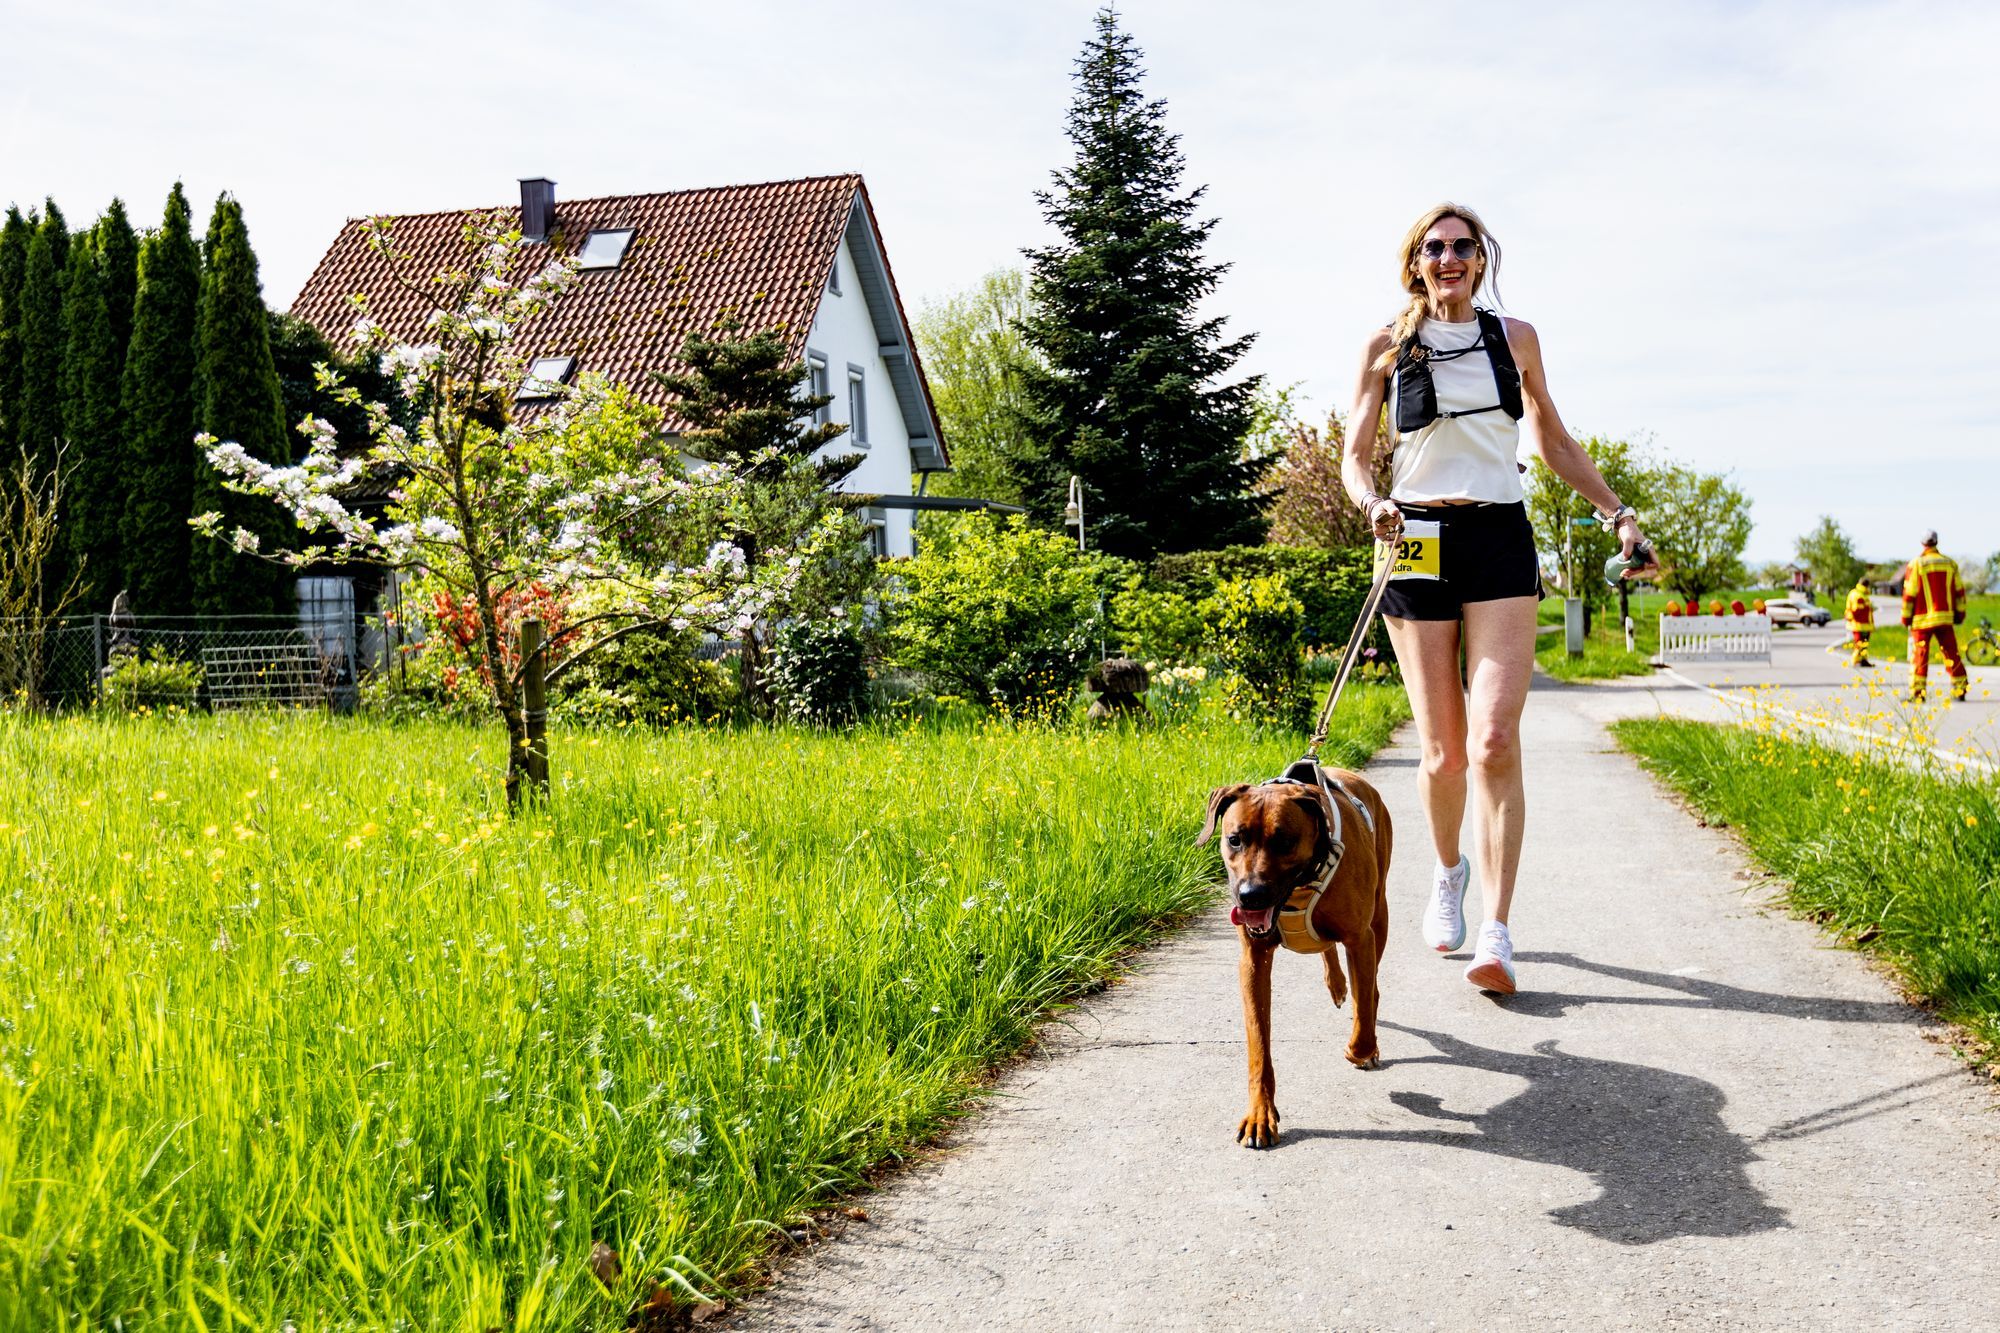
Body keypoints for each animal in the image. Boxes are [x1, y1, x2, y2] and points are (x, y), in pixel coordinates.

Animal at [1200, 768, 1392, 1144]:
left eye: (1284, 841)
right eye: (1235, 839)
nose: (1251, 896)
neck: (1302, 882)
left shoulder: (1360, 940)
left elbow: (1364, 1011)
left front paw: (1360, 1049)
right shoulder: (1253, 960)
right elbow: (1259, 1042)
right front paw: (1260, 1115)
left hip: (1381, 913)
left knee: (1371, 987)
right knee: (1327, 949)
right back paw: (1336, 984)